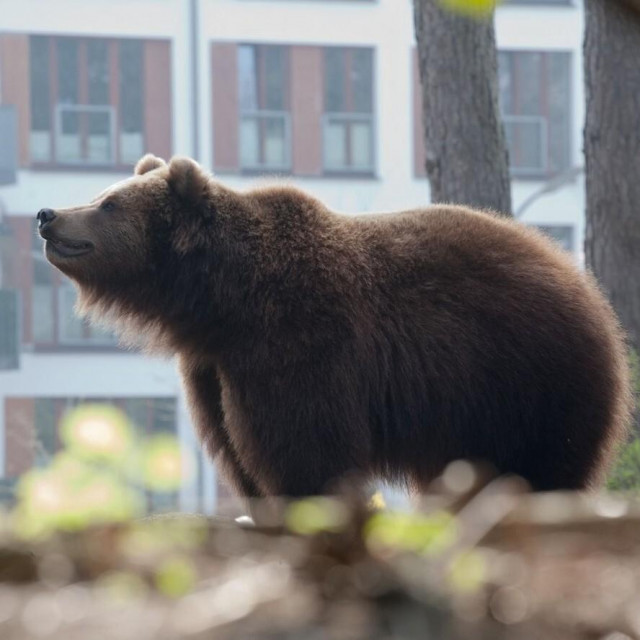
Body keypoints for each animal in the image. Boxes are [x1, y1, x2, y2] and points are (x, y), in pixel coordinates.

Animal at [37, 154, 632, 500]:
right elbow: (235, 446)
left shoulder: (299, 339)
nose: (48, 215)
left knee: (543, 463)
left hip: (528, 377)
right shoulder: (213, 366)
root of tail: (582, 282)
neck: (222, 300)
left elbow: (304, 445)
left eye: (108, 203)